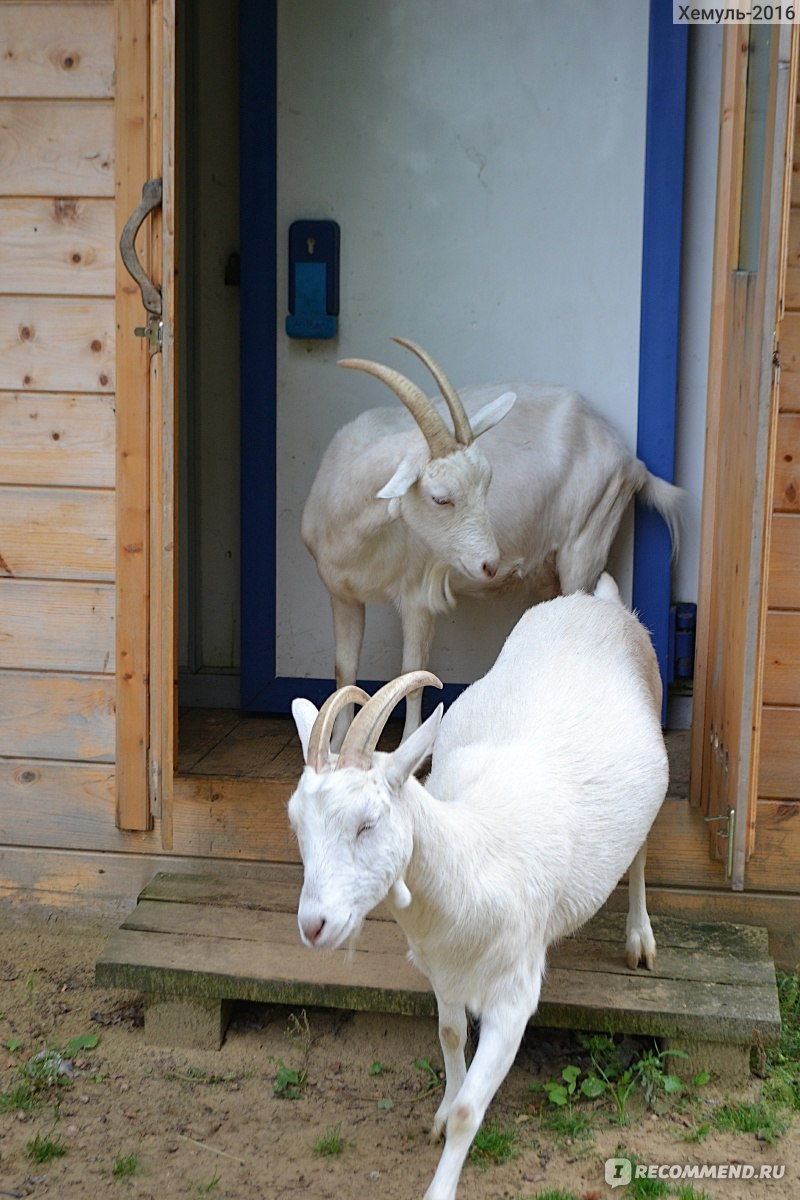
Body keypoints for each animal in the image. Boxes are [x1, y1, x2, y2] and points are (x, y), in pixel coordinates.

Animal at [287, 573, 671, 1200]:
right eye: (297, 822)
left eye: (367, 822)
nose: (314, 924)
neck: (473, 860)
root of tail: (599, 603)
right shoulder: (443, 971)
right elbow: (447, 1036)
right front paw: (442, 1110)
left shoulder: (514, 993)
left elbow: (474, 1110)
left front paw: (443, 1174)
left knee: (639, 852)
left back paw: (640, 940)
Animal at [303, 336, 686, 739]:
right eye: (440, 498)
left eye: (487, 484)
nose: (490, 564)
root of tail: (630, 460)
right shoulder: (342, 595)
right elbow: (344, 670)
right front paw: (336, 741)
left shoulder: (417, 597)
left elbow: (412, 675)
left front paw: (411, 742)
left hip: (586, 541)